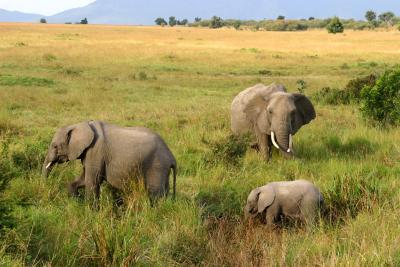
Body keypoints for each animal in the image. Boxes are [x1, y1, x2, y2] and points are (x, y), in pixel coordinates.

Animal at [41, 121, 177, 205]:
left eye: (55, 146)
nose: (46, 185)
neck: (80, 125)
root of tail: (172, 157)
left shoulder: (96, 151)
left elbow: (92, 181)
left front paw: (91, 212)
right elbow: (83, 180)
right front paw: (76, 201)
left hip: (157, 166)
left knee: (155, 194)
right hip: (163, 169)